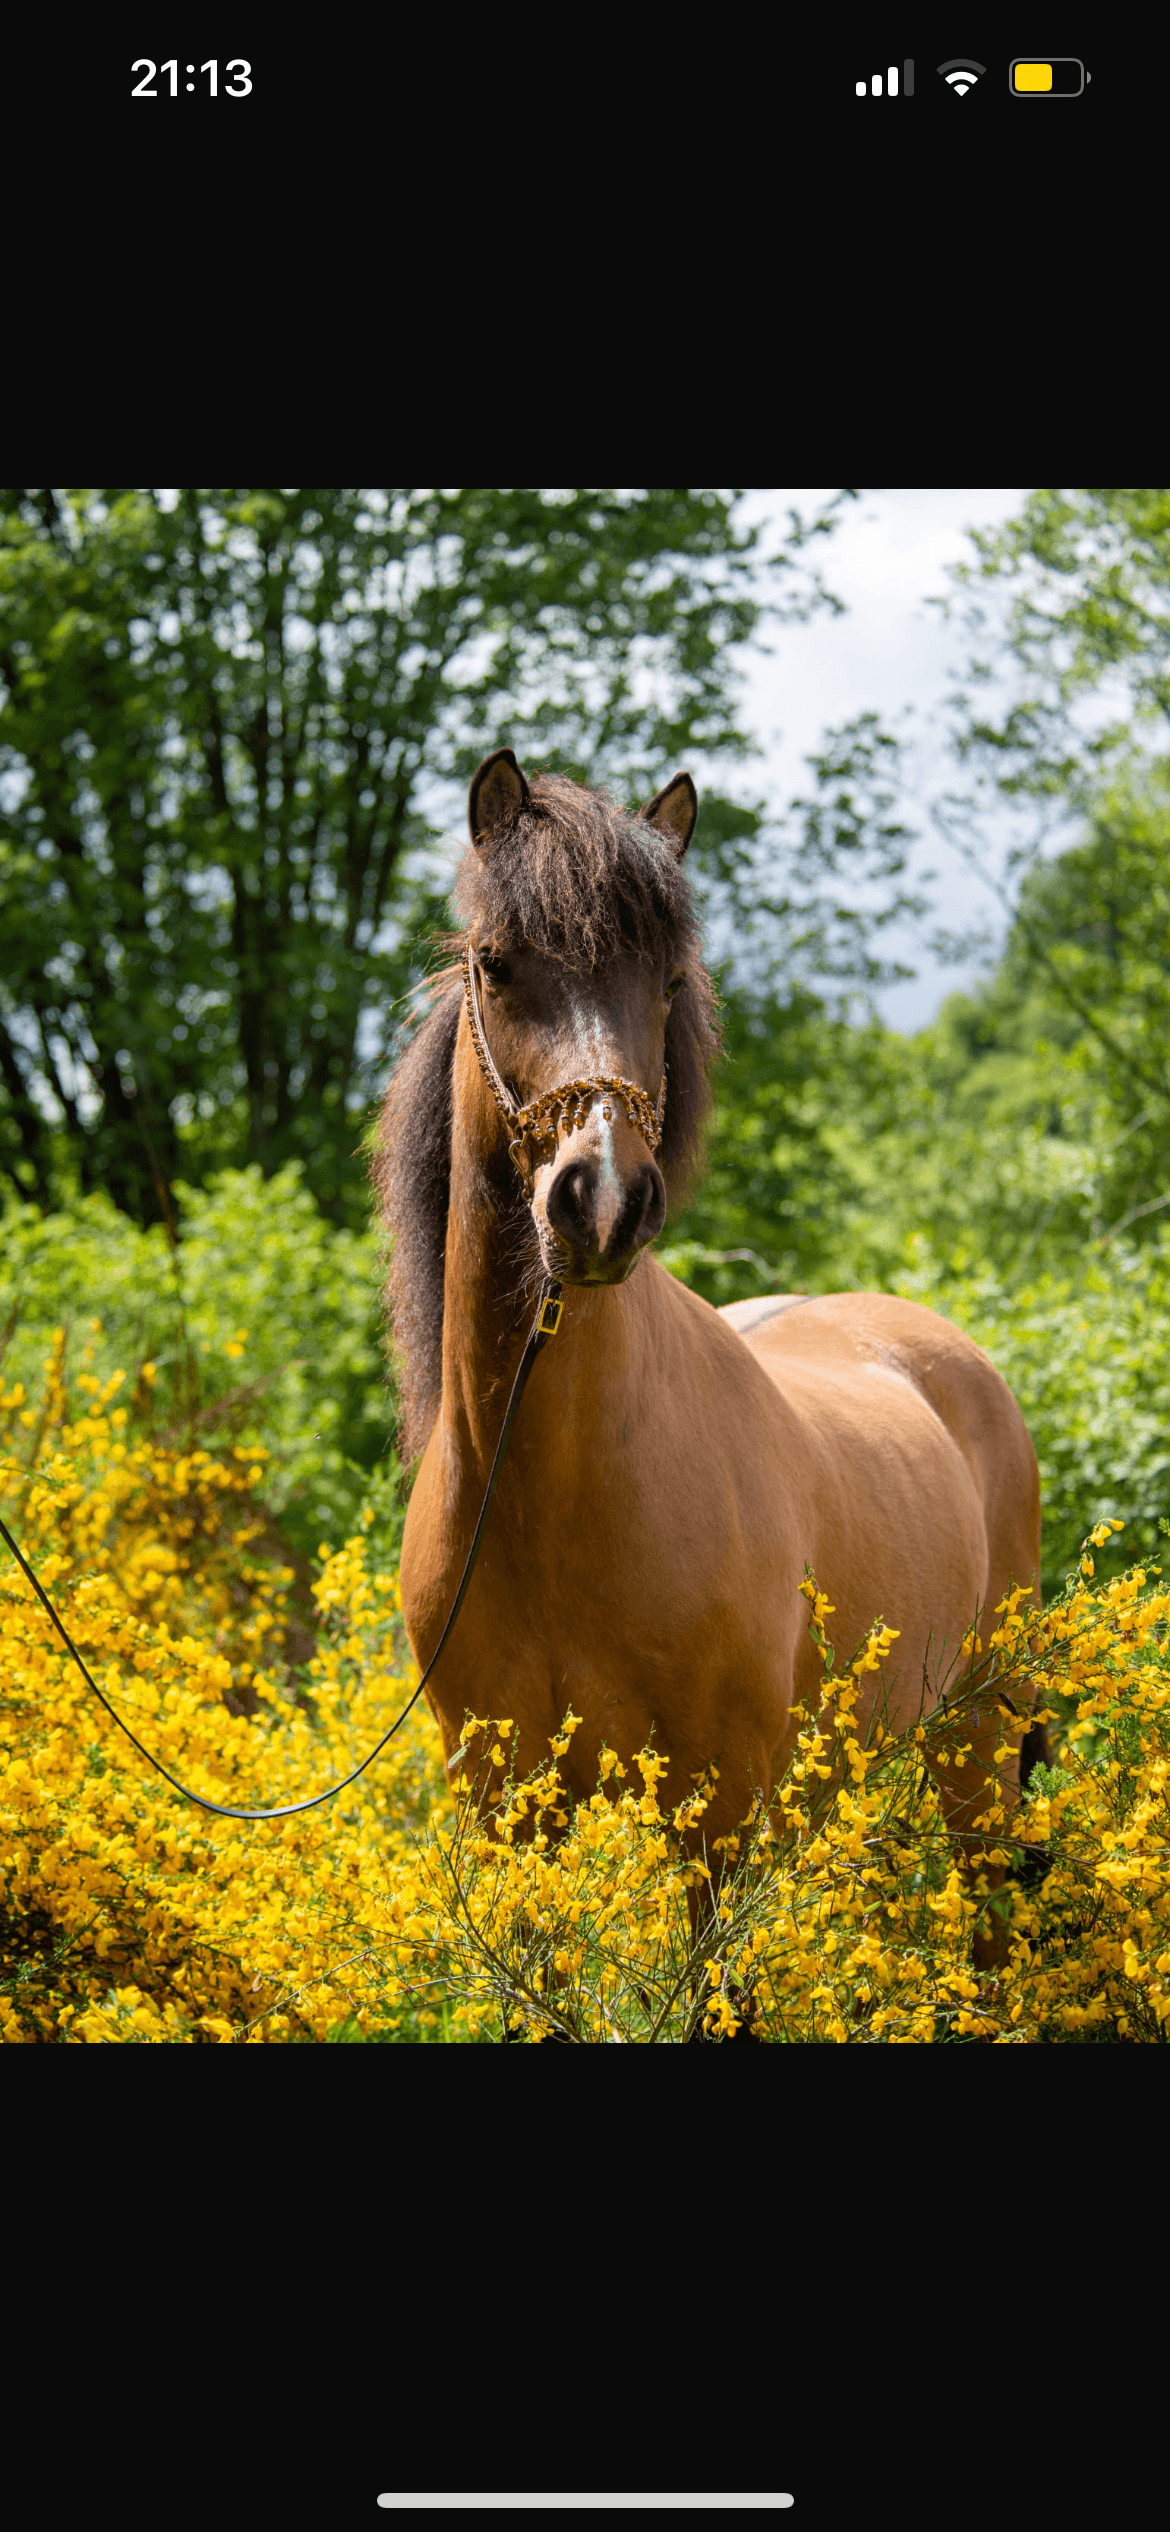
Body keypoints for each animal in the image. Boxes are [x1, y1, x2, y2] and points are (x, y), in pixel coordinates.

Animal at [373, 746, 1046, 1979]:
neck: (546, 1493)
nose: (600, 1201)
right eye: (497, 965)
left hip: (975, 1737)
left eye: (668, 981)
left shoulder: (720, 1814)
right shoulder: (508, 1813)